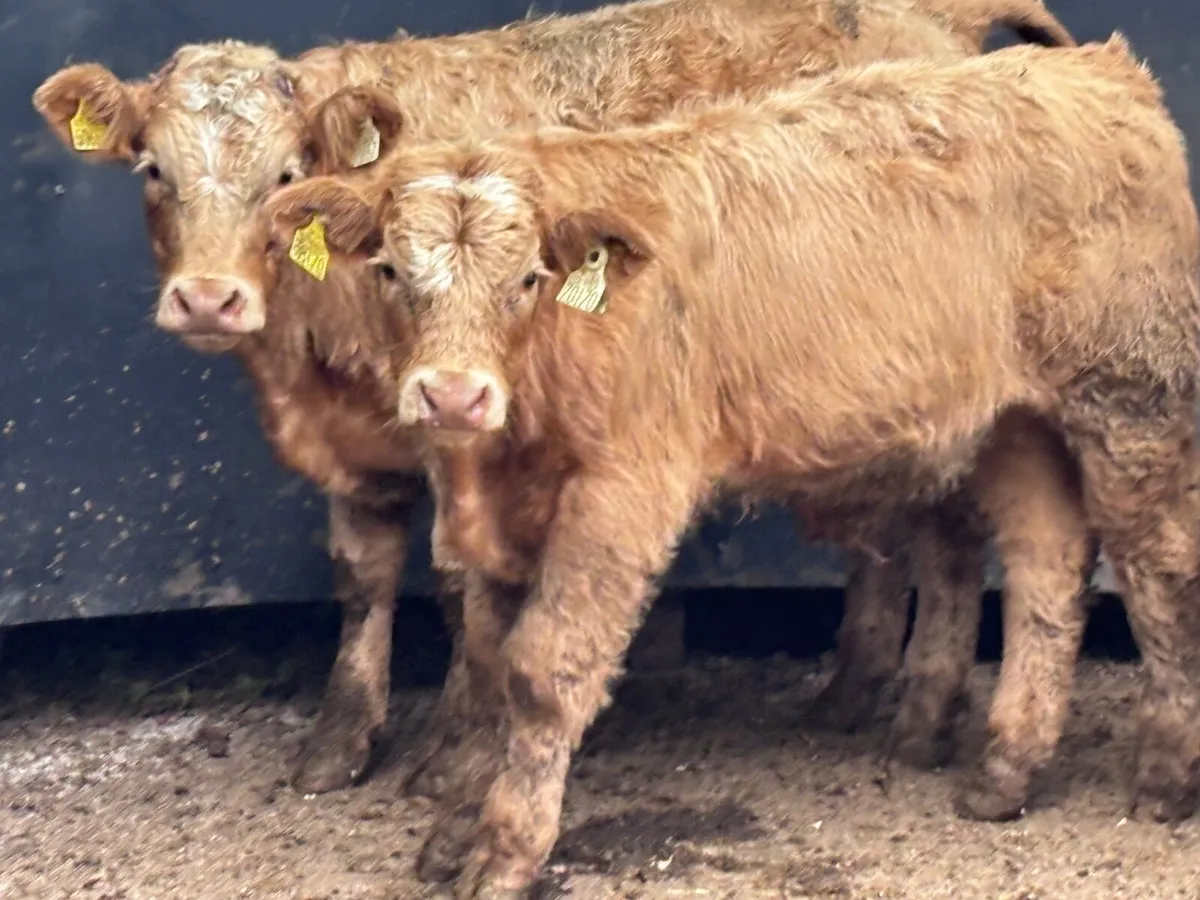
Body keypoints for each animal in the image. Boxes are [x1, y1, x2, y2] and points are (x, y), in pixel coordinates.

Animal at [32, 0, 1076, 797]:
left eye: (286, 176)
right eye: (152, 170)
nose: (209, 297)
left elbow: (462, 591)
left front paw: (453, 755)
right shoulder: (361, 451)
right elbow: (362, 580)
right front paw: (341, 742)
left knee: (943, 534)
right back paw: (855, 691)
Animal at [266, 35, 1200, 896]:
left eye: (528, 279)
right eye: (390, 271)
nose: (455, 396)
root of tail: (1098, 70)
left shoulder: (623, 491)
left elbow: (541, 670)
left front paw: (504, 852)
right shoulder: (494, 509)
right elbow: (491, 670)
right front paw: (458, 831)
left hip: (1129, 397)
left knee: (1158, 566)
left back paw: (1166, 770)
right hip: (1011, 423)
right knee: (1047, 568)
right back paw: (1005, 769)